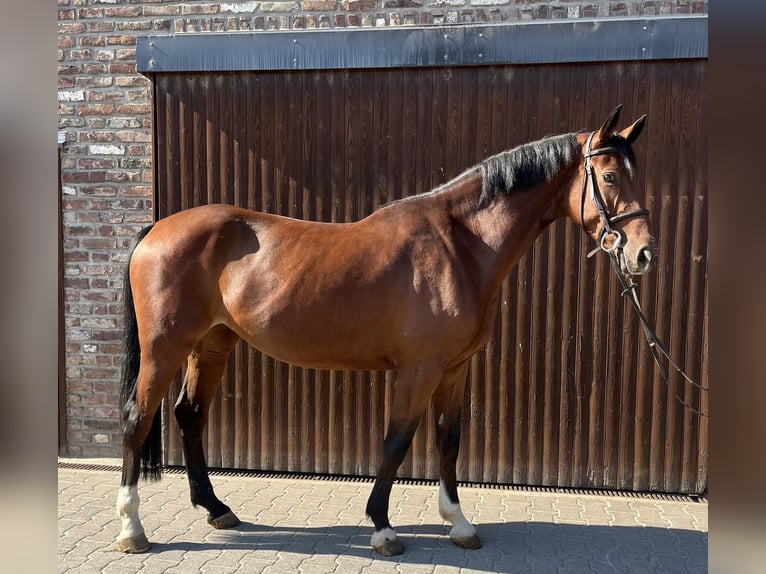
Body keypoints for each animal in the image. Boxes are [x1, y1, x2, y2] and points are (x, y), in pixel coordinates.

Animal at [114, 106, 656, 556]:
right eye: (609, 175)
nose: (643, 254)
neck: (461, 246)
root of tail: (157, 229)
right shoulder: (418, 369)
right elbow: (396, 442)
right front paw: (382, 527)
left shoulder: (455, 368)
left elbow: (448, 440)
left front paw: (459, 523)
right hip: (165, 349)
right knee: (137, 420)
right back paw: (131, 529)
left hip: (211, 345)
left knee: (190, 415)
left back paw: (216, 509)